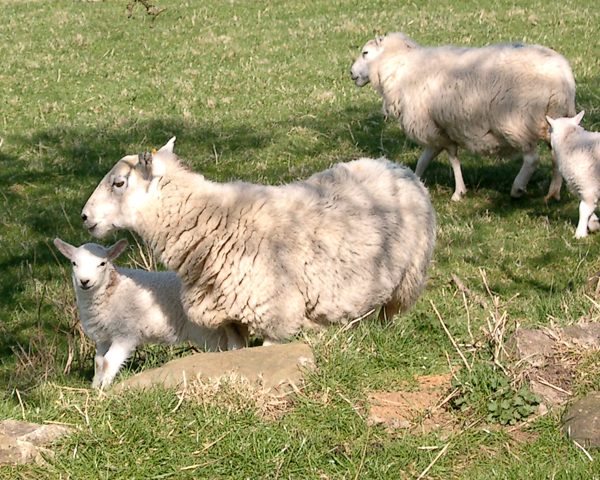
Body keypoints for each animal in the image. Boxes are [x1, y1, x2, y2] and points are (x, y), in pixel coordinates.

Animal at [51, 238, 239, 388]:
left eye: (102, 263)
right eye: (74, 263)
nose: (84, 281)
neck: (112, 290)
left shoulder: (126, 333)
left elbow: (109, 361)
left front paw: (103, 390)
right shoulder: (106, 335)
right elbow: (99, 362)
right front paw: (95, 386)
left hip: (211, 331)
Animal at [79, 139, 436, 344]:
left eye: (119, 183)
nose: (84, 216)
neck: (214, 222)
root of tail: (394, 165)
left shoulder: (278, 316)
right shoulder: (229, 318)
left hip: (407, 282)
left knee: (390, 316)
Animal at [352, 31, 576, 201]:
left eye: (365, 52)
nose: (351, 74)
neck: (401, 68)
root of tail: (564, 76)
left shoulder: (434, 128)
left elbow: (452, 158)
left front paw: (458, 192)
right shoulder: (437, 128)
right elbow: (425, 159)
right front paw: (414, 182)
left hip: (516, 121)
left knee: (531, 158)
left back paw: (517, 188)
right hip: (552, 121)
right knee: (556, 156)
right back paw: (553, 193)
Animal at [544, 112, 600, 240]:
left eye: (550, 130)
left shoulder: (588, 185)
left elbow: (583, 210)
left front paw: (580, 234)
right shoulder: (583, 188)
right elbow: (589, 209)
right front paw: (594, 224)